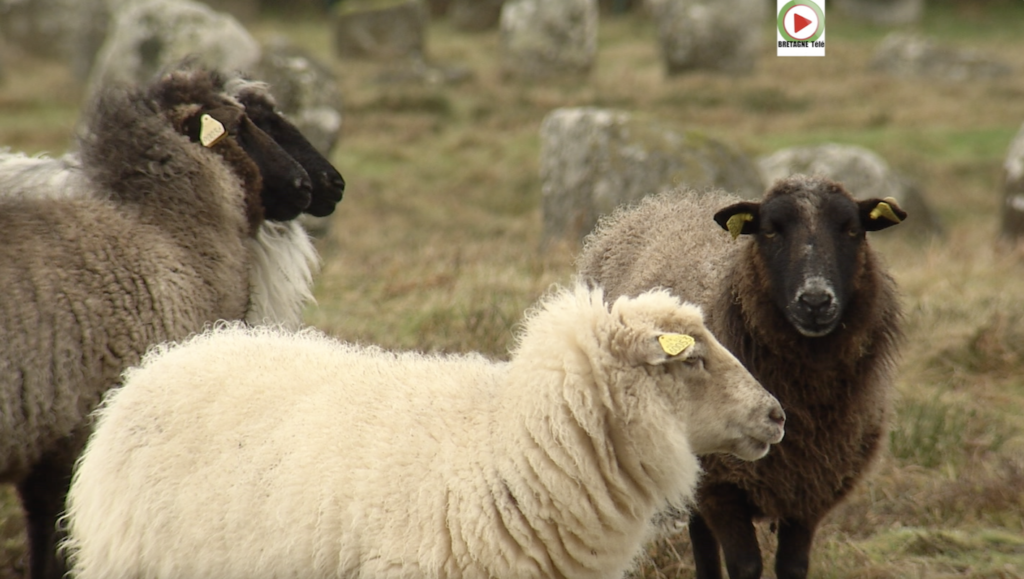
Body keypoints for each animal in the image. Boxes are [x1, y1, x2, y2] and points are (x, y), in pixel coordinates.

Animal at [577, 175, 906, 579]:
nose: (814, 302)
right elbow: (745, 566)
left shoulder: (812, 488)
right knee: (701, 539)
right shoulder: (722, 487)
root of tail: (667, 201)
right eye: (770, 231)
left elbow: (793, 567)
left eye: (852, 230)